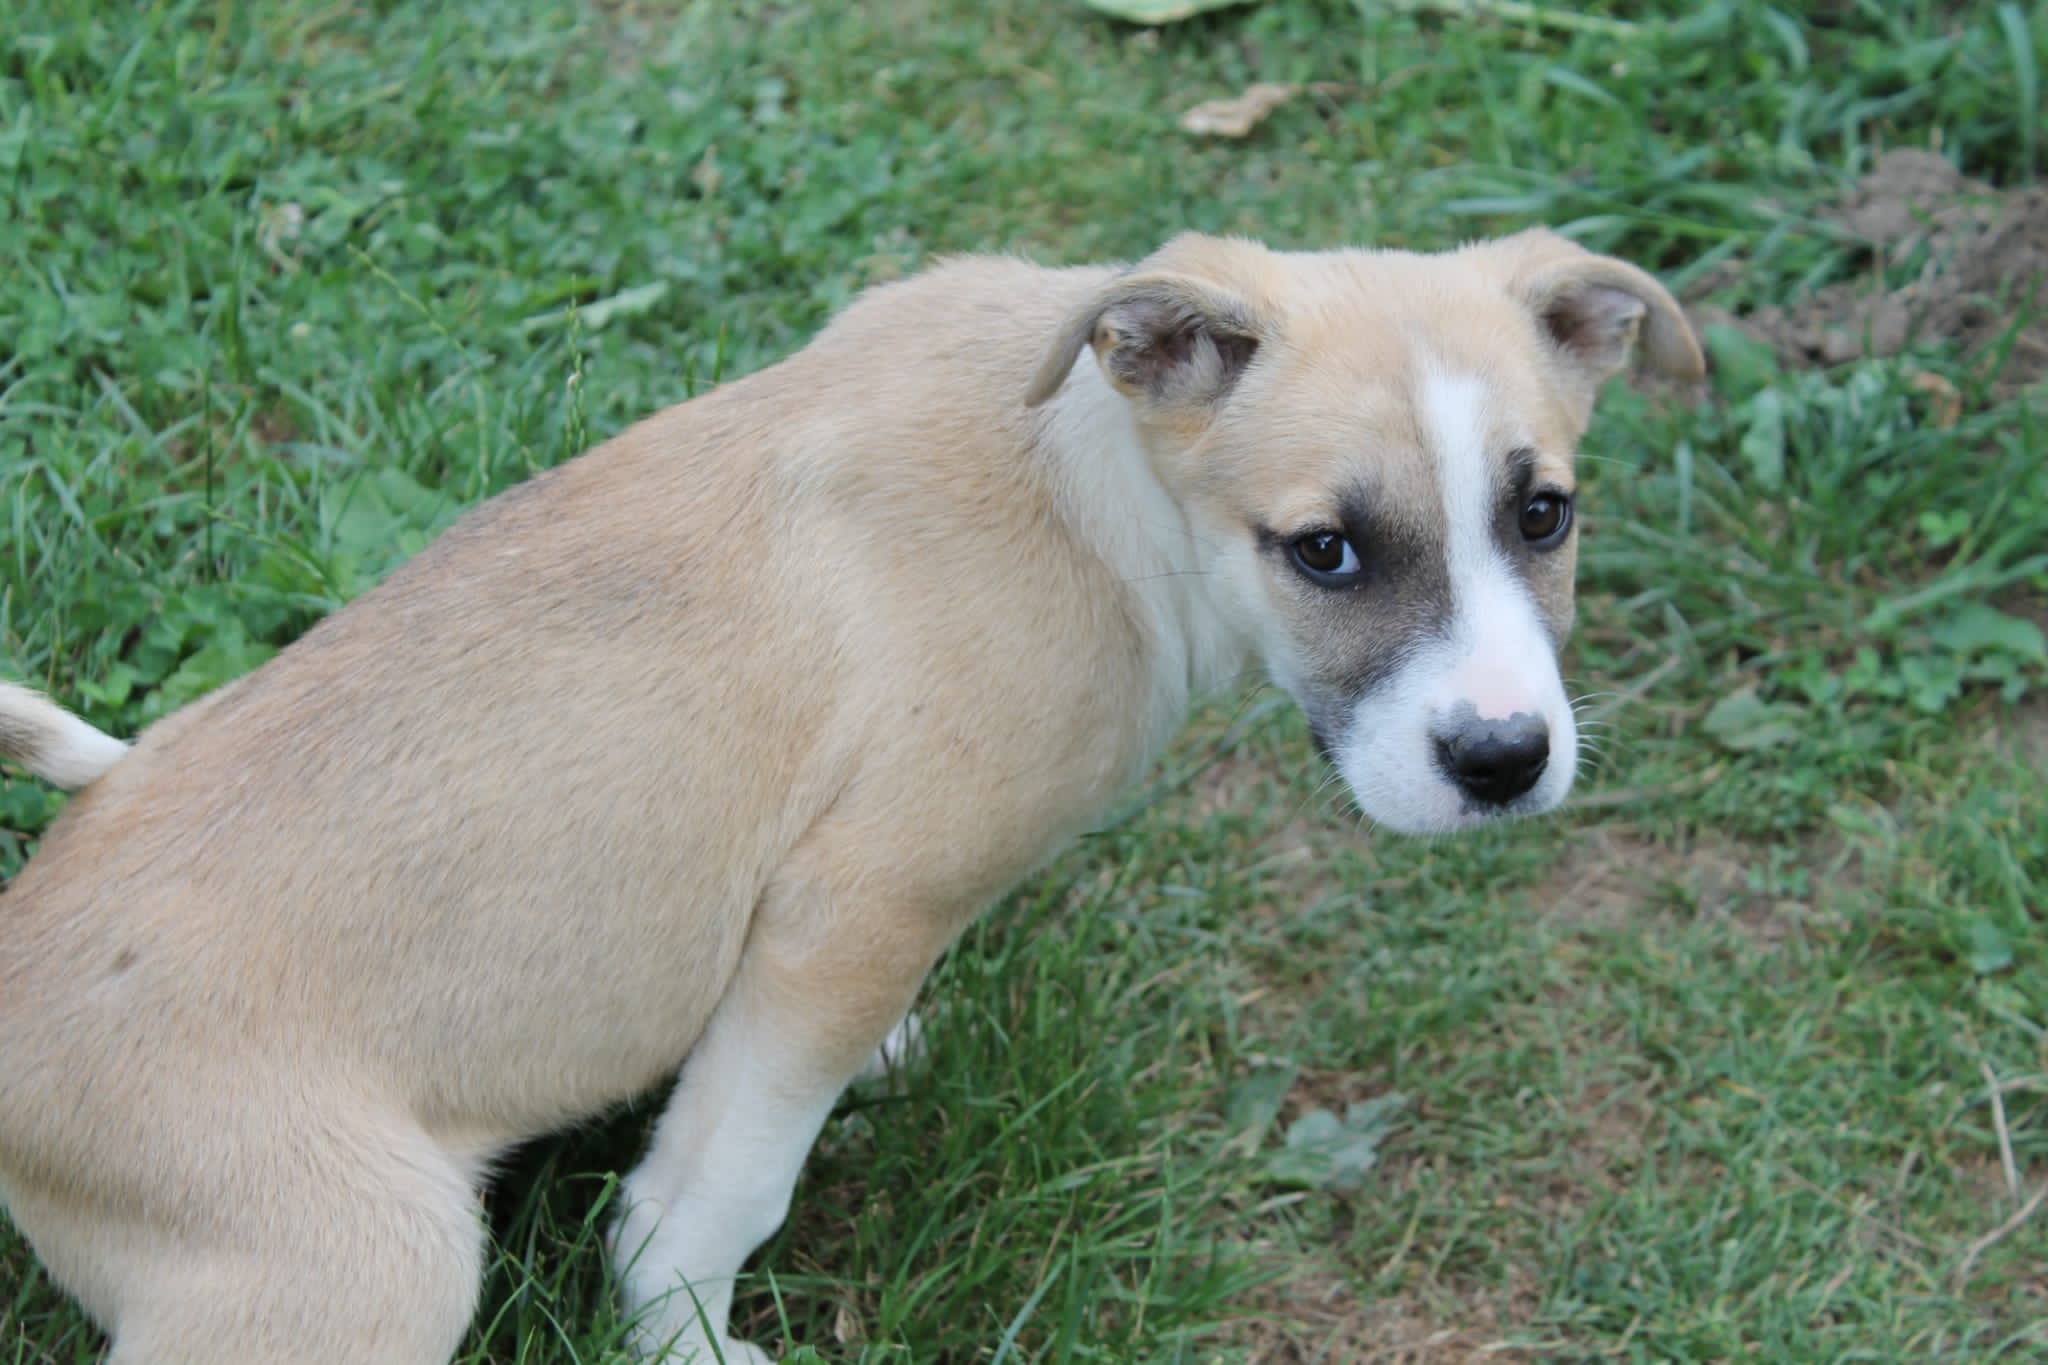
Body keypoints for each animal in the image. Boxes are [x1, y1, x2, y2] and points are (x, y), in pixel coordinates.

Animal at [0, 228, 1701, 1364]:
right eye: (1325, 551)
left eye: (1545, 515)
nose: (1504, 762)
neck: (1091, 491)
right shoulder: (855, 907)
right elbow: (718, 1187)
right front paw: (682, 1336)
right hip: (365, 1260)